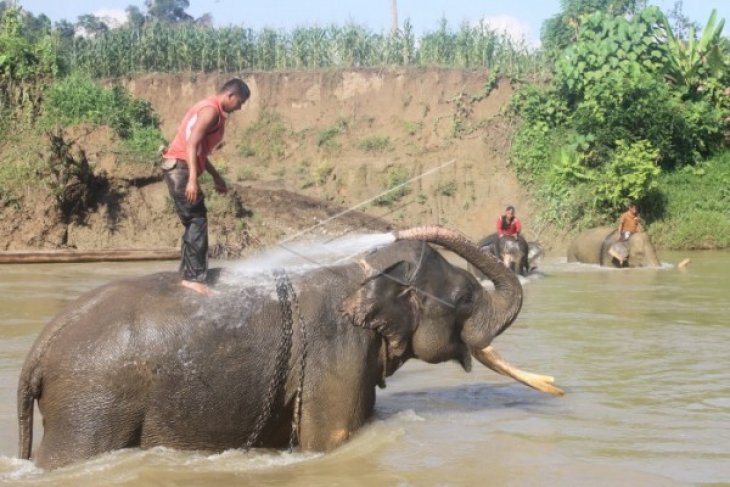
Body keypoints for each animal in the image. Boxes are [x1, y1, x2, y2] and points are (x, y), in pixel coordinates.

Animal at [18, 227, 564, 470]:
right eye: (467, 297)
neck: (360, 269)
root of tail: (38, 352)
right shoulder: (337, 354)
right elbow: (333, 440)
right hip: (92, 407)